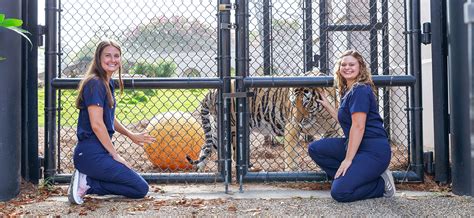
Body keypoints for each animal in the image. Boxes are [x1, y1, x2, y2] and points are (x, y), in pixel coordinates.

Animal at [185, 77, 340, 172]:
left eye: (306, 103)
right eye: (293, 102)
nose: (298, 119)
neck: (320, 115)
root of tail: (212, 91)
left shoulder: (332, 130)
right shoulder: (291, 128)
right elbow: (290, 153)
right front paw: (292, 170)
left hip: (219, 130)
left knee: (206, 147)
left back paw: (200, 170)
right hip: (235, 128)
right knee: (235, 156)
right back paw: (251, 169)